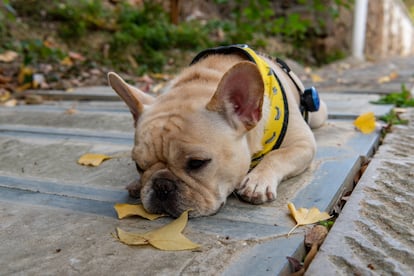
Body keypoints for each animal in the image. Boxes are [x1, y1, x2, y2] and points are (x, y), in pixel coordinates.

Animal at [108, 44, 328, 217]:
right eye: (139, 166)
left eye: (197, 163)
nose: (162, 185)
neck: (204, 79)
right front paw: (138, 183)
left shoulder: (303, 143)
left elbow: (277, 156)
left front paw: (257, 181)